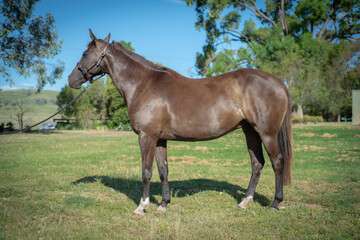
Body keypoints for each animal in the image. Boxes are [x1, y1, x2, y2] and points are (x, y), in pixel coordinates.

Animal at [67, 29, 292, 216]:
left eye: (85, 54)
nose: (71, 80)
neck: (142, 84)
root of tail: (279, 82)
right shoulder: (159, 140)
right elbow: (163, 171)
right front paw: (163, 204)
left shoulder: (146, 137)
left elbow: (146, 172)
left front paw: (141, 207)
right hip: (250, 131)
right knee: (257, 163)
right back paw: (245, 201)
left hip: (267, 134)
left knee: (277, 162)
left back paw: (275, 203)